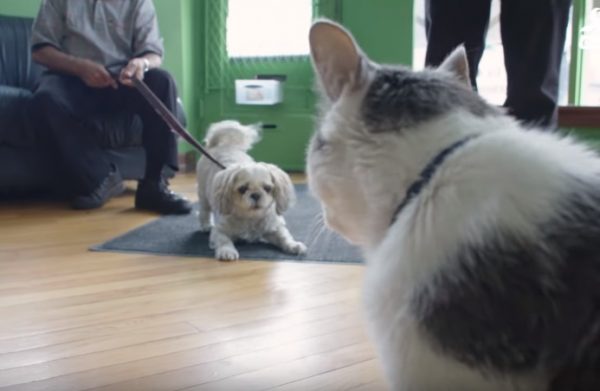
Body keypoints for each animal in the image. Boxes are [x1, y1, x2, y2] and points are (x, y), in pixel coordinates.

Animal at [197, 119, 308, 260]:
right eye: (242, 189)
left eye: (267, 188)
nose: (255, 195)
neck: (251, 218)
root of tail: (217, 145)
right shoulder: (220, 231)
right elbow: (224, 241)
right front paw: (227, 251)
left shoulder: (274, 228)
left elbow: (284, 237)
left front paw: (294, 245)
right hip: (203, 197)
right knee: (204, 212)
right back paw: (206, 225)